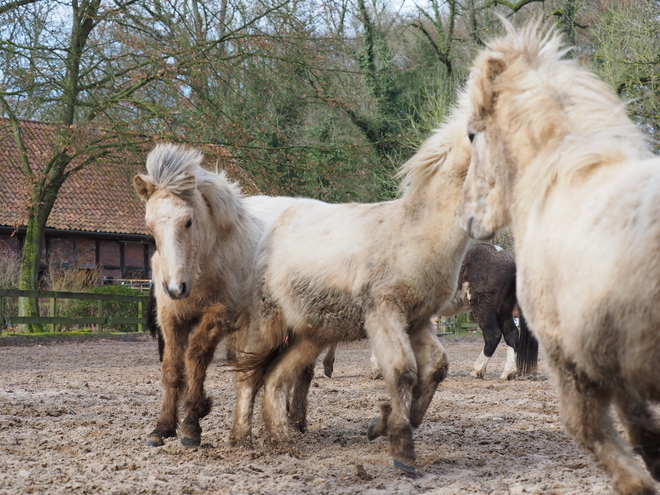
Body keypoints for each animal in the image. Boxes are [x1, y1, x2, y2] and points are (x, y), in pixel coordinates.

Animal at [232, 103, 474, 476]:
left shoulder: (417, 319)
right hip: (268, 322)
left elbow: (436, 368)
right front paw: (403, 452)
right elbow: (402, 371)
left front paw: (382, 424)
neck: (415, 232)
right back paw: (242, 440)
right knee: (249, 375)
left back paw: (282, 441)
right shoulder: (384, 311)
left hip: (312, 333)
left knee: (276, 378)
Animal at [322, 243, 540, 380]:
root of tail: (506, 256)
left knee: (493, 335)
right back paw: (508, 372)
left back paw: (477, 370)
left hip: (484, 307)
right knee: (511, 334)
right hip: (503, 310)